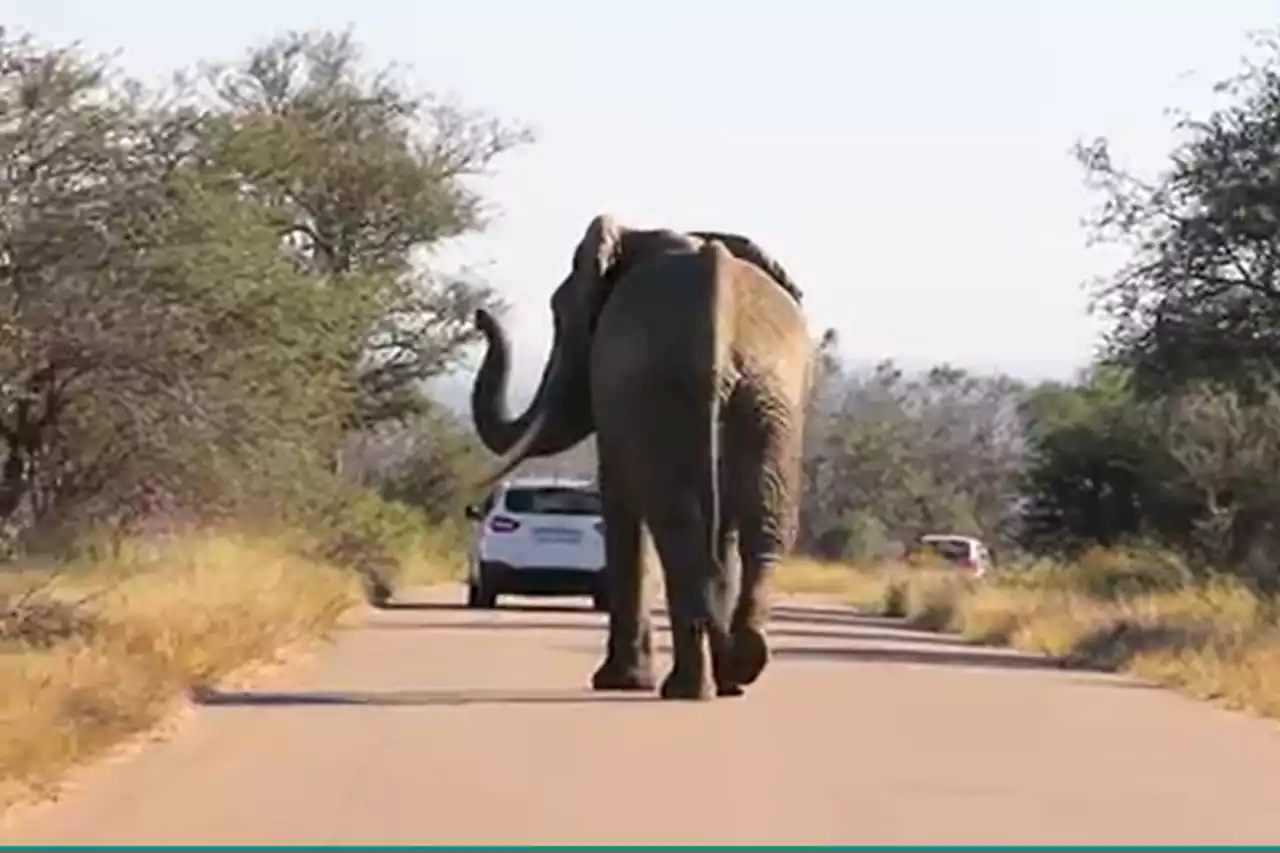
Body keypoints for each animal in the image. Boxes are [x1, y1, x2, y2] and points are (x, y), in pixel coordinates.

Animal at [471, 213, 808, 696]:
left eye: (558, 314)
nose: (479, 316)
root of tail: (718, 298)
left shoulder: (617, 396)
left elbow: (619, 503)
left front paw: (618, 683)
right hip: (768, 399)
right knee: (760, 522)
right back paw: (736, 669)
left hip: (666, 389)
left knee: (679, 527)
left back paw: (690, 686)